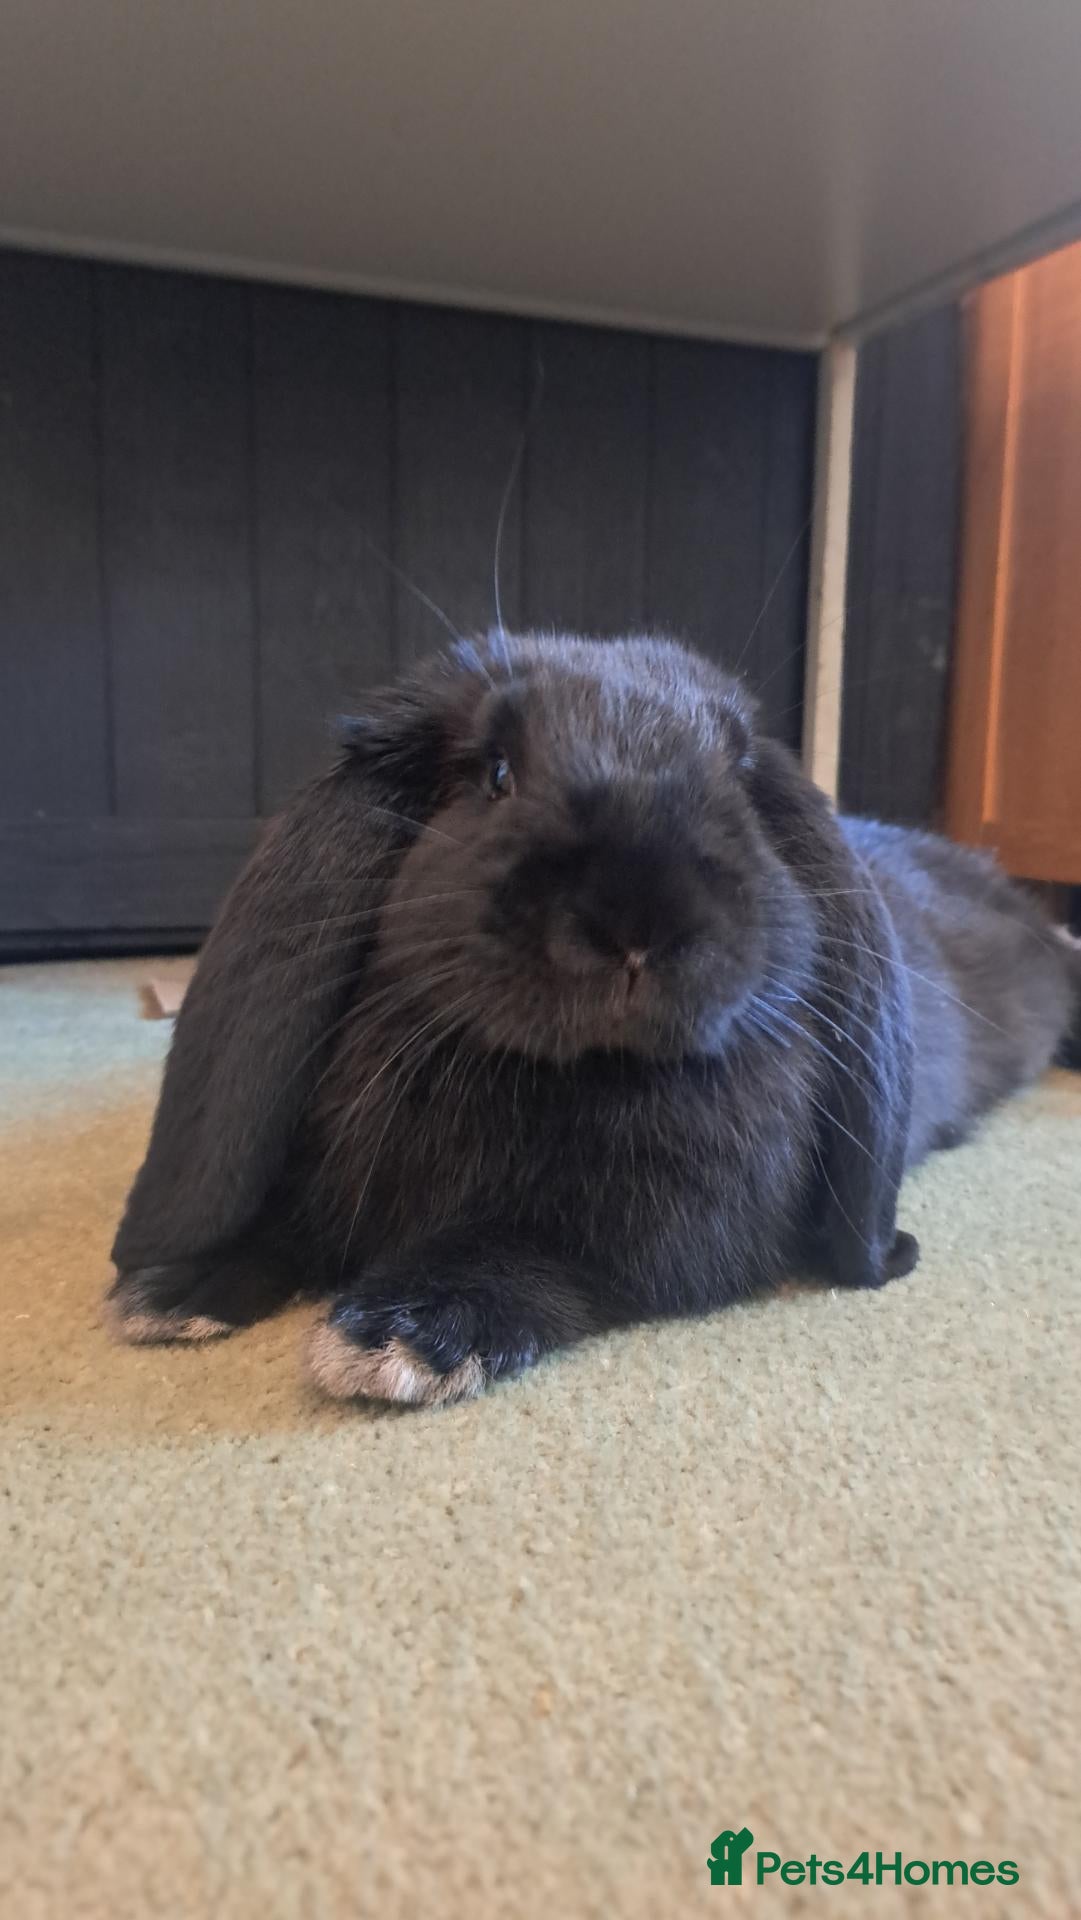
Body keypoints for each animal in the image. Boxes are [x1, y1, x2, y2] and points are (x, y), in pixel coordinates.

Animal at [107, 633, 1081, 1406]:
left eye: (737, 783)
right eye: (494, 774)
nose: (639, 916)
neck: (555, 1071)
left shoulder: (665, 1229)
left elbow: (535, 1253)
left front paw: (400, 1334)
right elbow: (279, 1217)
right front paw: (169, 1291)